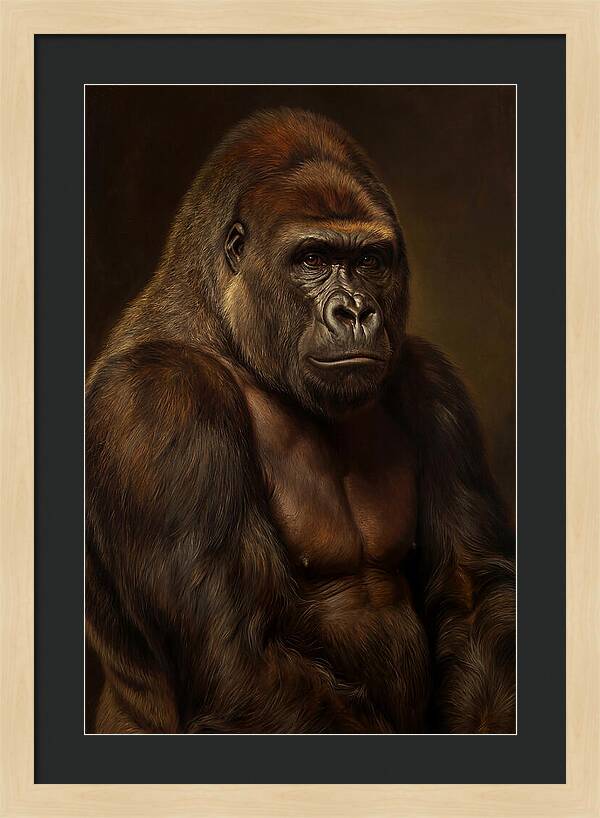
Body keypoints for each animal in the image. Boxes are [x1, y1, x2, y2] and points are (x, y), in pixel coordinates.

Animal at [86, 107, 515, 733]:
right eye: (312, 259)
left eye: (368, 260)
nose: (356, 311)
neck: (229, 333)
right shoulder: (160, 400)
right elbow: (236, 656)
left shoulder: (433, 383)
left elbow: (472, 592)